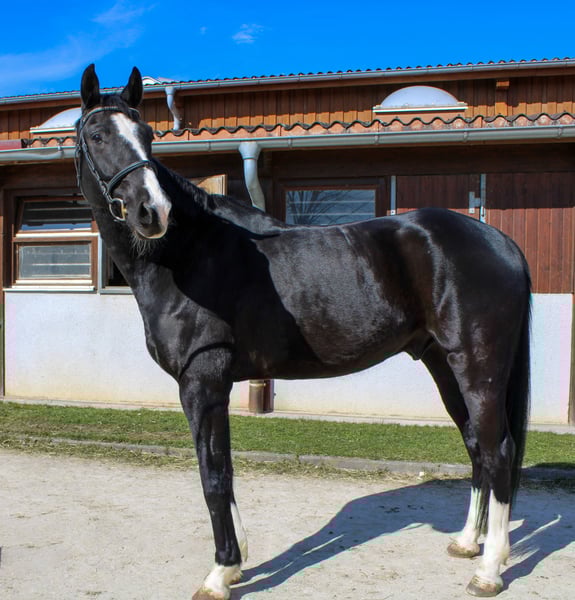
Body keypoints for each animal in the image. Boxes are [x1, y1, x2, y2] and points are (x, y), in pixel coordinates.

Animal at [75, 64, 532, 599]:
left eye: (147, 135)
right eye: (98, 135)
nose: (153, 211)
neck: (190, 255)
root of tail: (500, 240)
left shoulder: (202, 382)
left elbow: (213, 475)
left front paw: (219, 573)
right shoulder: (212, 386)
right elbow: (225, 471)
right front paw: (237, 561)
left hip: (477, 366)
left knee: (498, 451)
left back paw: (490, 568)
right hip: (445, 365)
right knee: (477, 446)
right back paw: (466, 544)